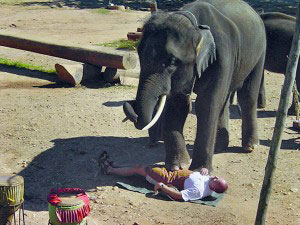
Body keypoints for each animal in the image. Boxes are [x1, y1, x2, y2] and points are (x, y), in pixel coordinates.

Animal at [122, 0, 264, 171]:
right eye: (139, 55)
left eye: (172, 61)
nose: (130, 106)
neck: (194, 24)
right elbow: (178, 104)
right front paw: (177, 166)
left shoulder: (223, 55)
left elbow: (207, 104)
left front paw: (199, 171)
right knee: (224, 99)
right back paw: (220, 147)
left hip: (259, 53)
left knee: (247, 95)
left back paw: (250, 146)